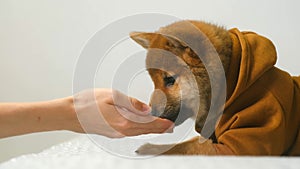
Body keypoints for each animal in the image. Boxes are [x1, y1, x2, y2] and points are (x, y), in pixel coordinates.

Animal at [129, 20, 300, 155]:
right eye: (154, 82)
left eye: (169, 80)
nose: (152, 113)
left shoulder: (236, 147)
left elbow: (184, 147)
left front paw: (151, 148)